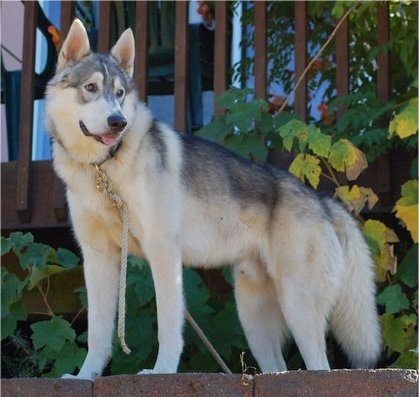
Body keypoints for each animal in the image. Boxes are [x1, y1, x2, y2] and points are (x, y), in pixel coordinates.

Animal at [44, 20, 382, 378]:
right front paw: (84, 377)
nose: (117, 122)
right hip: (254, 319)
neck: (104, 169)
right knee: (278, 368)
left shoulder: (163, 253)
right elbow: (97, 333)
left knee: (319, 366)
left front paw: (162, 371)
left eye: (119, 94)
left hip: (298, 306)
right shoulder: (98, 257)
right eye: (91, 88)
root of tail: (323, 201)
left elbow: (168, 327)